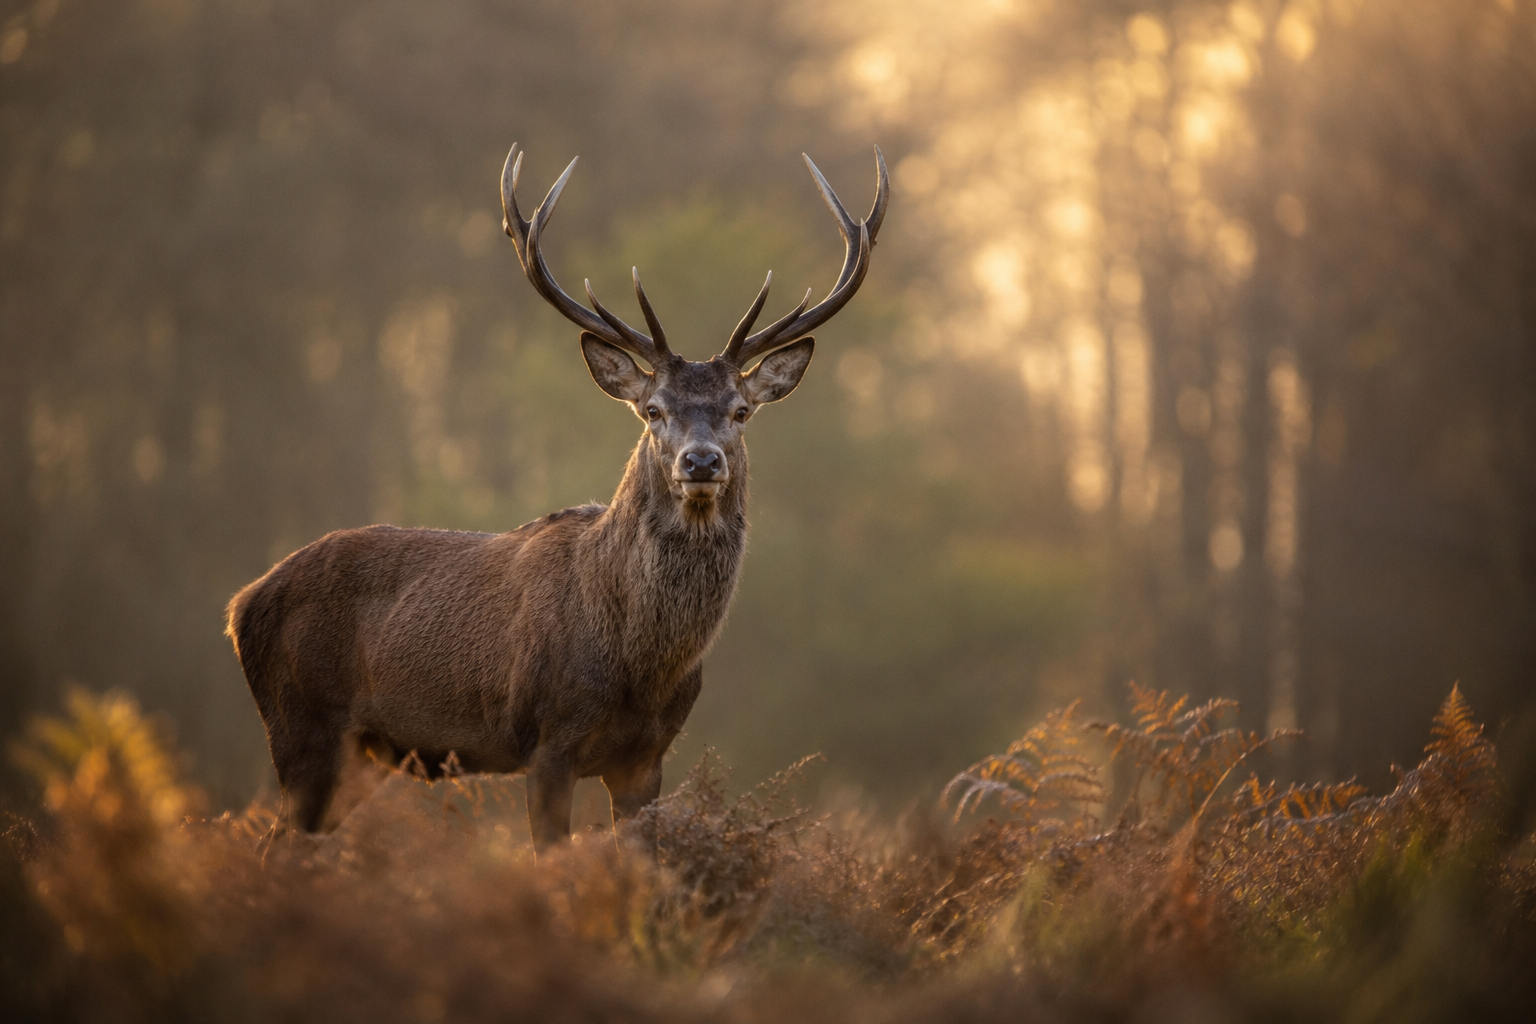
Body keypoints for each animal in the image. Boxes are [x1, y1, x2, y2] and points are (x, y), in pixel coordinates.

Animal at [226, 142, 888, 853]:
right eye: (653, 410)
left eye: (740, 410)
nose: (701, 461)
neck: (638, 667)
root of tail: (242, 605)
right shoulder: (547, 741)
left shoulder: (647, 759)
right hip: (302, 725)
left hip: (362, 757)